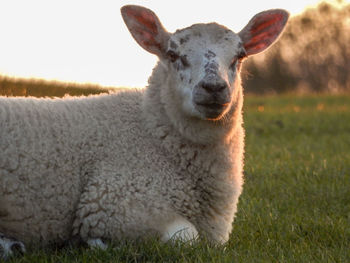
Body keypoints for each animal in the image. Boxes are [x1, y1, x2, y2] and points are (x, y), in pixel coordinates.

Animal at [0, 4, 288, 258]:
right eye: (173, 55)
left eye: (239, 56)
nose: (214, 88)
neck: (151, 130)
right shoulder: (113, 204)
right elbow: (185, 236)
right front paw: (91, 244)